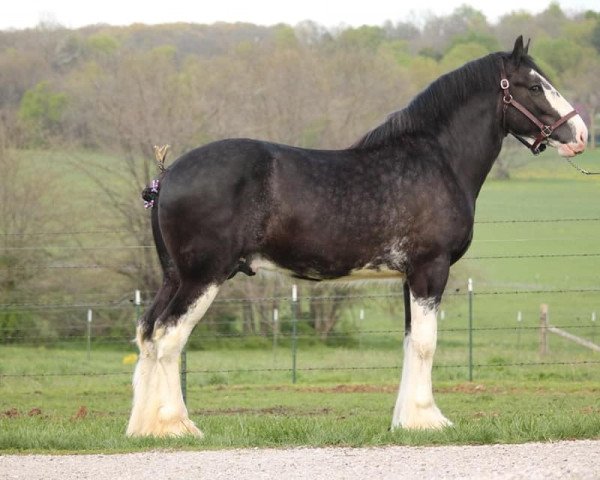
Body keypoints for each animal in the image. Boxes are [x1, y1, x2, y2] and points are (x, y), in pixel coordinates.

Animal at [125, 35, 584, 436]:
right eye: (535, 86)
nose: (579, 135)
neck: (436, 159)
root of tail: (168, 176)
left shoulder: (408, 277)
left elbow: (409, 342)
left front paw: (404, 422)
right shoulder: (430, 269)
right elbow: (426, 344)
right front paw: (427, 419)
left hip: (174, 276)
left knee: (148, 333)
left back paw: (144, 428)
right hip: (203, 277)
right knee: (168, 337)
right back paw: (177, 426)